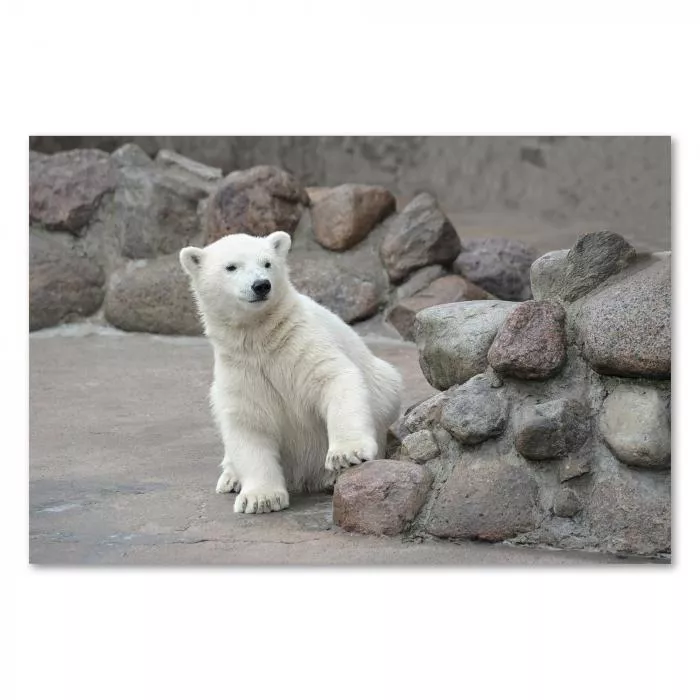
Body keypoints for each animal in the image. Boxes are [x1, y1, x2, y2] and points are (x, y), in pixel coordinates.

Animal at [178, 232, 402, 512]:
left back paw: (331, 477)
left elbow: (333, 377)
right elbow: (247, 420)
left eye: (267, 263)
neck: (260, 337)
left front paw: (346, 454)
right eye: (231, 267)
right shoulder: (241, 367)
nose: (261, 285)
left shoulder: (300, 341)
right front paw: (261, 498)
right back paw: (230, 478)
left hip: (385, 384)